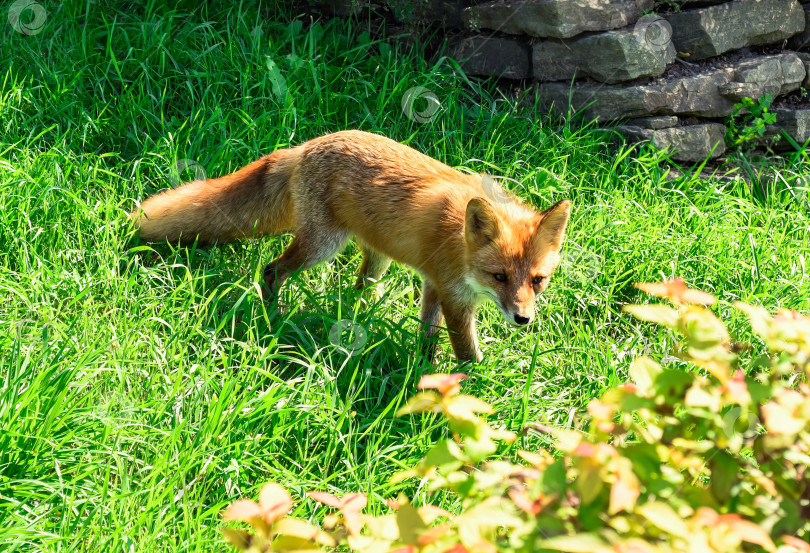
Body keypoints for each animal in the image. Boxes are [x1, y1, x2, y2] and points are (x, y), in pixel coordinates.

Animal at [133, 129, 568, 362]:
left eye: (538, 280)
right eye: (499, 277)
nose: (523, 319)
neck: (458, 244)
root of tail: (306, 145)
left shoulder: (435, 283)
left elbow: (427, 332)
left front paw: (425, 368)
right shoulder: (454, 296)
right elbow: (466, 350)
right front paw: (473, 387)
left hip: (376, 258)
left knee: (359, 286)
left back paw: (359, 315)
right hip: (321, 245)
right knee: (272, 270)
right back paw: (275, 314)